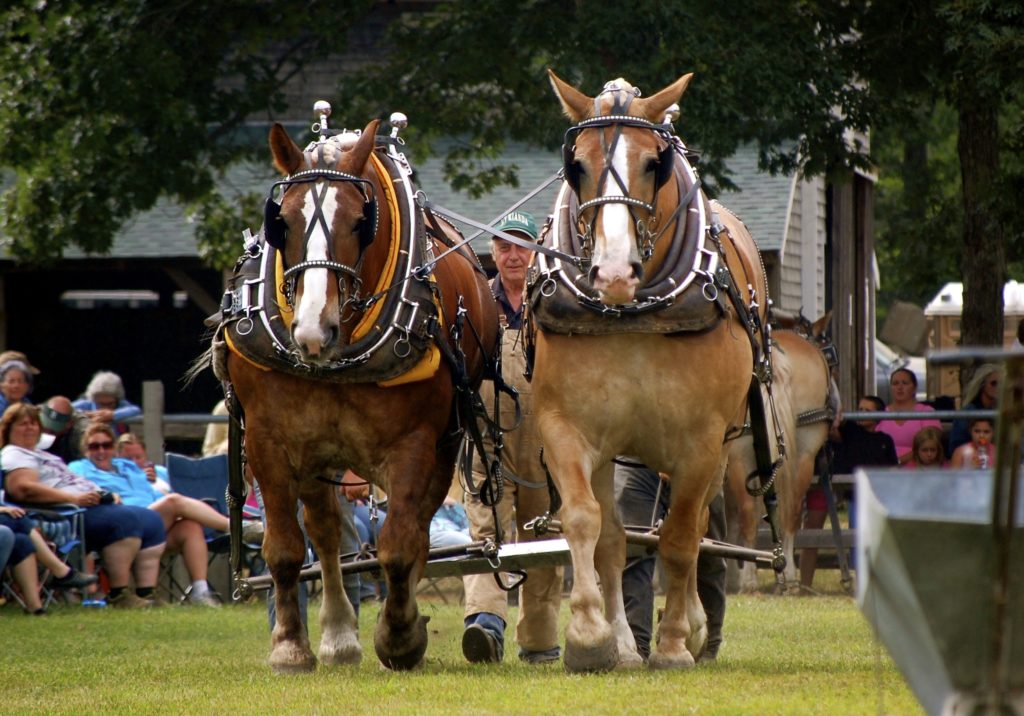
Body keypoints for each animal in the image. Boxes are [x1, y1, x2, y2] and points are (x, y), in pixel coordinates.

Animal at [226, 120, 497, 676]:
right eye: (282, 222)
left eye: (358, 222)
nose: (313, 332)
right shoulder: (269, 440)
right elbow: (285, 549)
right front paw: (290, 646)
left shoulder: (415, 443)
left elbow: (398, 544)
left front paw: (400, 636)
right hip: (317, 452)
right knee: (327, 532)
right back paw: (337, 635)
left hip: (441, 445)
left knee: (413, 530)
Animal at [536, 72, 770, 671]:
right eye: (577, 166)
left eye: (652, 164)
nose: (614, 272)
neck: (632, 313)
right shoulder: (565, 427)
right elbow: (588, 524)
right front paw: (592, 637)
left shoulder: (701, 442)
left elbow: (682, 538)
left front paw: (672, 644)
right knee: (617, 538)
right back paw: (622, 642)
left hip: (721, 449)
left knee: (697, 528)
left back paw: (690, 628)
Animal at [720, 317, 839, 594]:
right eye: (830, 356)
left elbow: (734, 518)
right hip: (804, 456)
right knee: (791, 512)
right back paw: (788, 578)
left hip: (742, 457)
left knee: (750, 514)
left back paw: (752, 580)